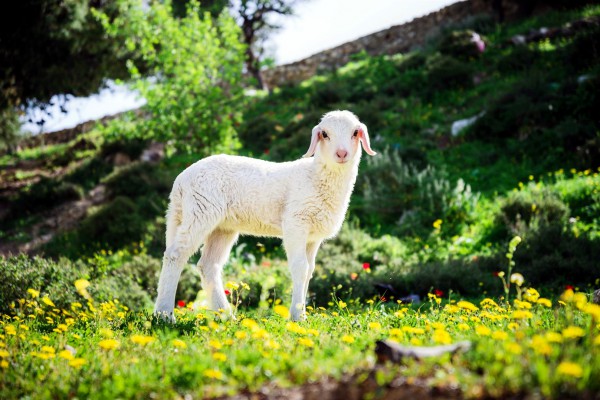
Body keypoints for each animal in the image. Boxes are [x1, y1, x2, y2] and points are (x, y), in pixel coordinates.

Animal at [155, 110, 378, 322]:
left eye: (355, 133)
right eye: (324, 134)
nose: (342, 153)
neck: (314, 176)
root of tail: (180, 182)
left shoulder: (313, 235)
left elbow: (309, 271)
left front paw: (302, 314)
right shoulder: (295, 223)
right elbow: (300, 268)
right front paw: (297, 317)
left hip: (221, 226)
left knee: (208, 266)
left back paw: (226, 315)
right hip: (200, 211)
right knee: (175, 255)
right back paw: (165, 315)